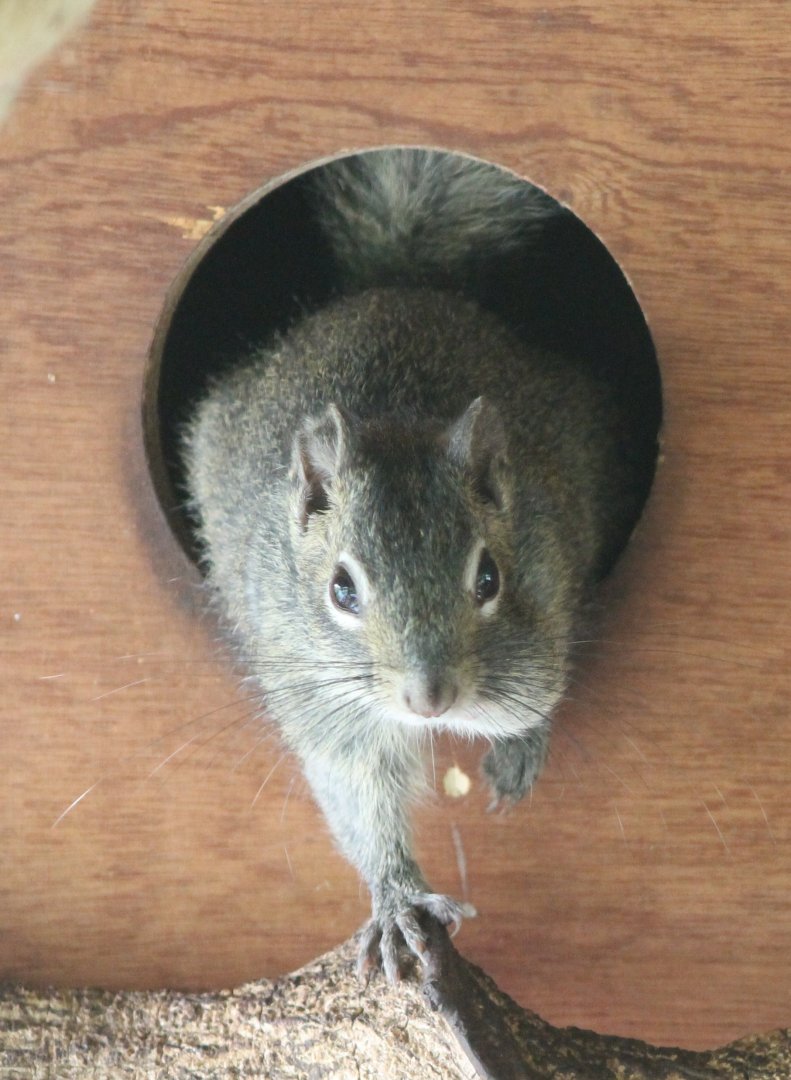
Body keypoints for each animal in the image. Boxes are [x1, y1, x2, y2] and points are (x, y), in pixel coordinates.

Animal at [183, 148, 642, 982]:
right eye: (340, 589)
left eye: (489, 578)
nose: (430, 698)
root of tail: (396, 286)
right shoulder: (325, 707)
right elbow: (356, 793)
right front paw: (397, 903)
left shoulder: (536, 641)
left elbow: (531, 698)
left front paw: (519, 751)